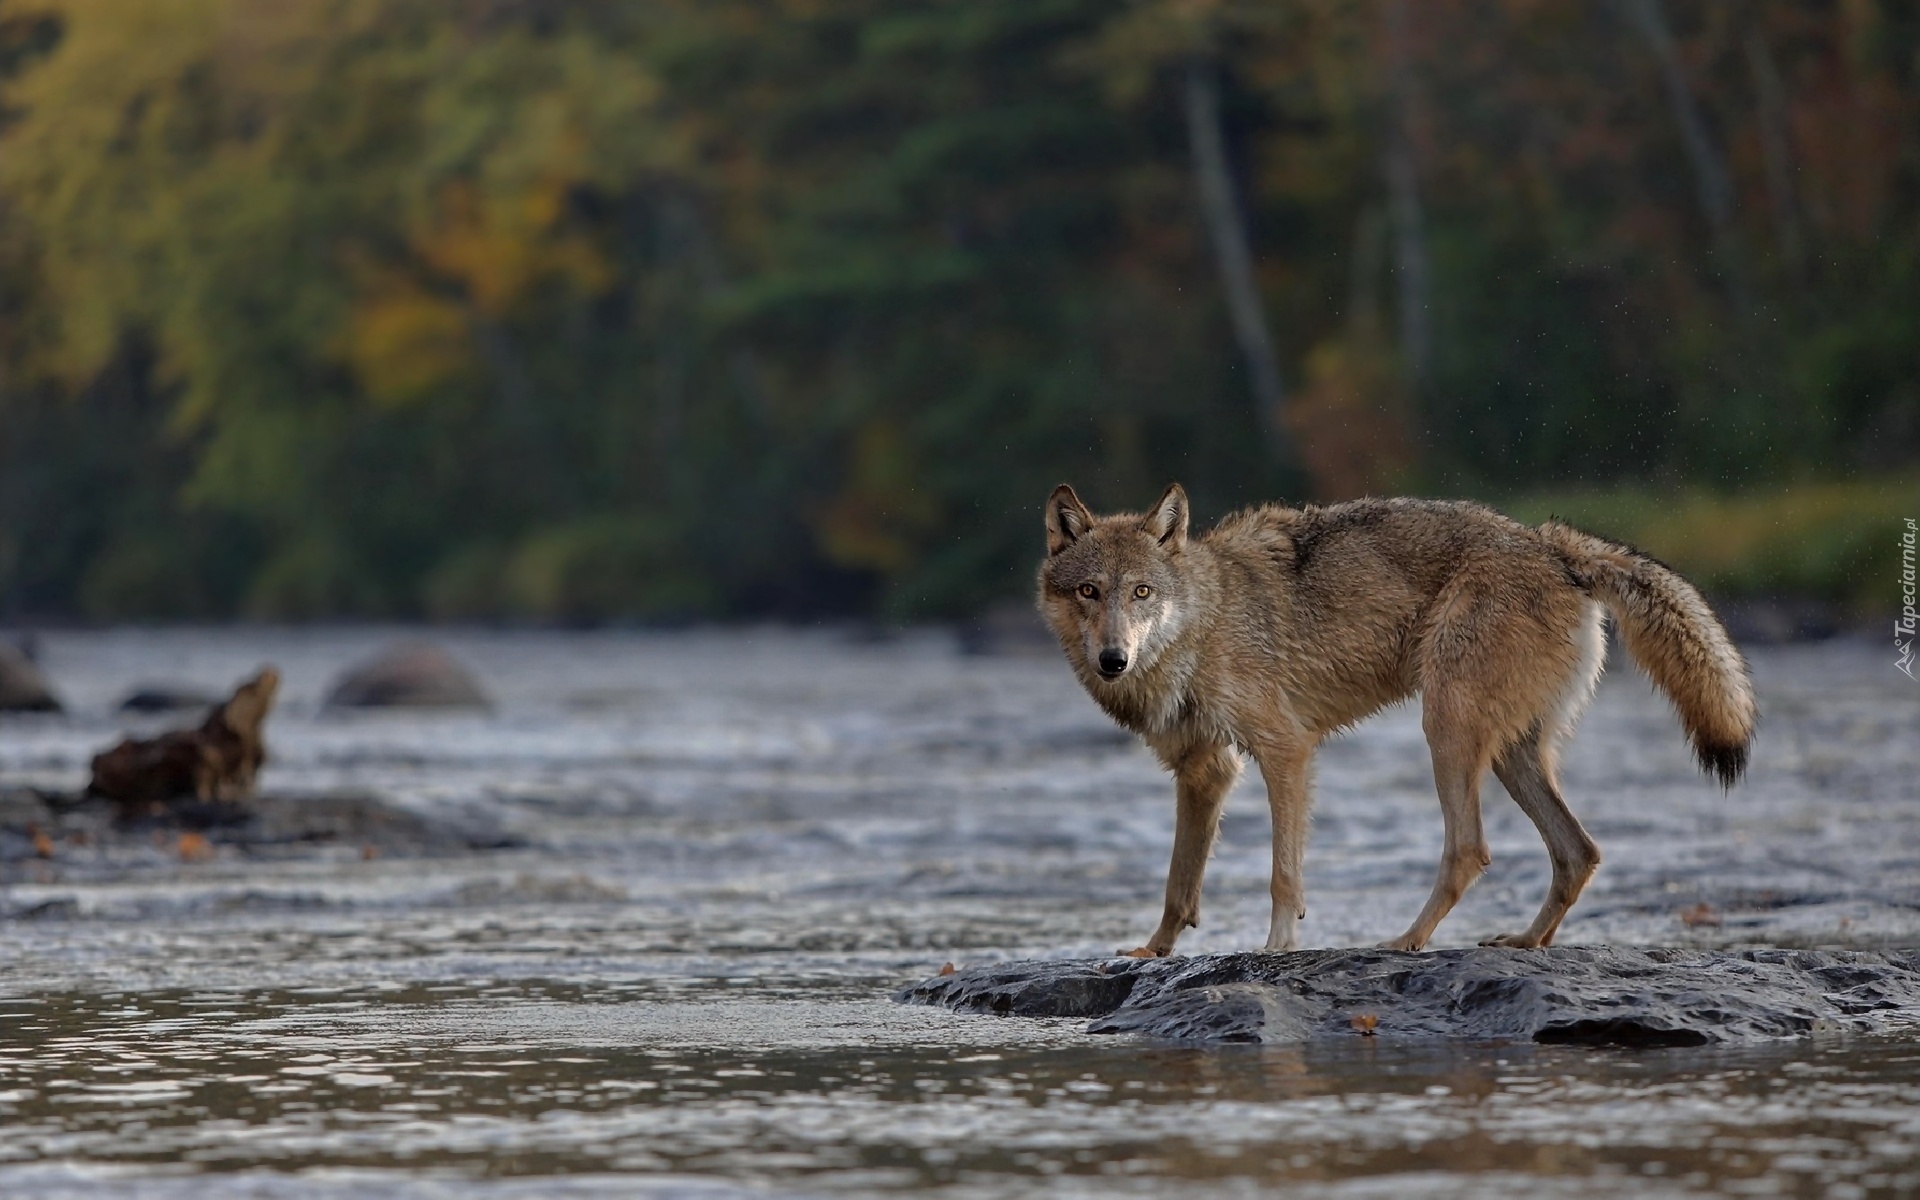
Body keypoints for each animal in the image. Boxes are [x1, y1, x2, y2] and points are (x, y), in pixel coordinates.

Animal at [1036, 481, 1758, 948]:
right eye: (1089, 592)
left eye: (1142, 593)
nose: (1113, 659)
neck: (1203, 624)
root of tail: (1551, 542)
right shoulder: (1203, 770)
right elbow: (1178, 885)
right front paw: (1150, 953)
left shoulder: (1285, 749)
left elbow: (1282, 878)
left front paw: (1274, 955)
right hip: (1511, 754)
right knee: (1578, 852)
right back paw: (1524, 943)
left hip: (1446, 728)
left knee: (1470, 850)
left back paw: (1404, 942)